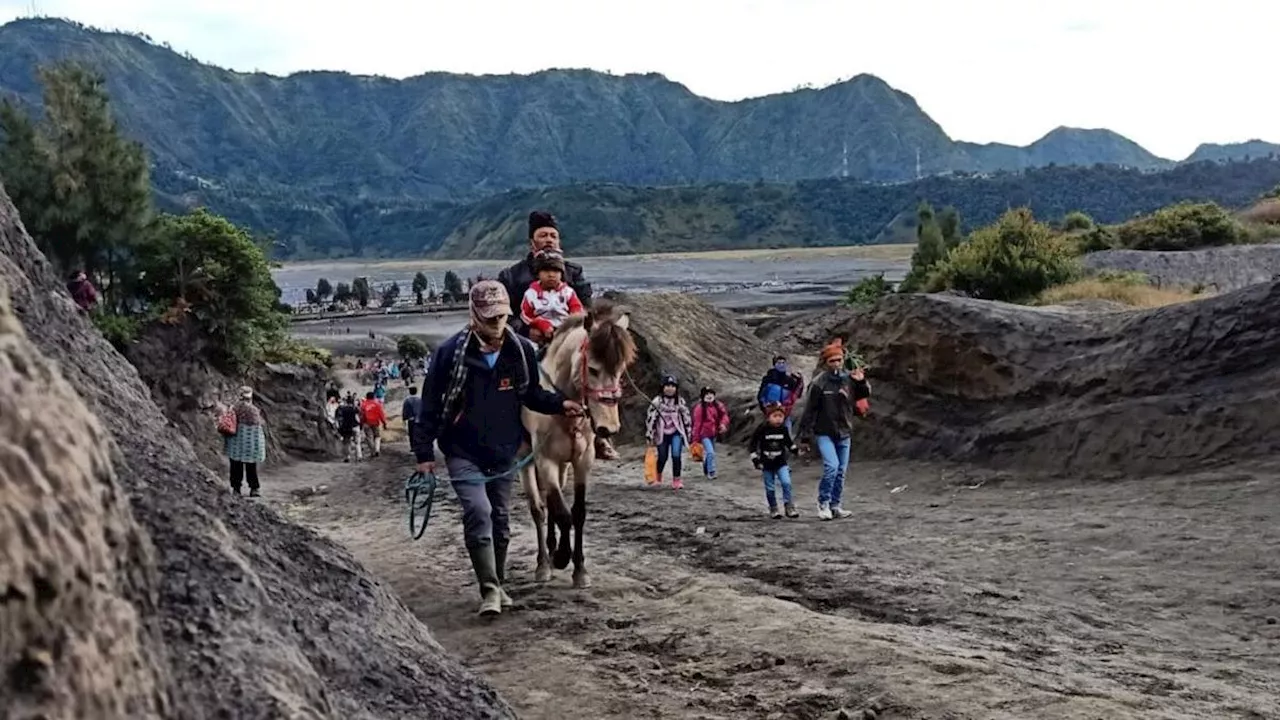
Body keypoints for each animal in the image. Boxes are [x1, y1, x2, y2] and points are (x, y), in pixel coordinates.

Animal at [522, 299, 637, 586]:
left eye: (620, 371)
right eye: (593, 369)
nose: (608, 427)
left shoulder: (582, 460)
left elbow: (577, 512)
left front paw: (580, 569)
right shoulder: (545, 460)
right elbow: (563, 513)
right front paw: (563, 557)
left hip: (563, 465)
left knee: (551, 503)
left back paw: (551, 548)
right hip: (526, 460)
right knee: (538, 508)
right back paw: (544, 563)